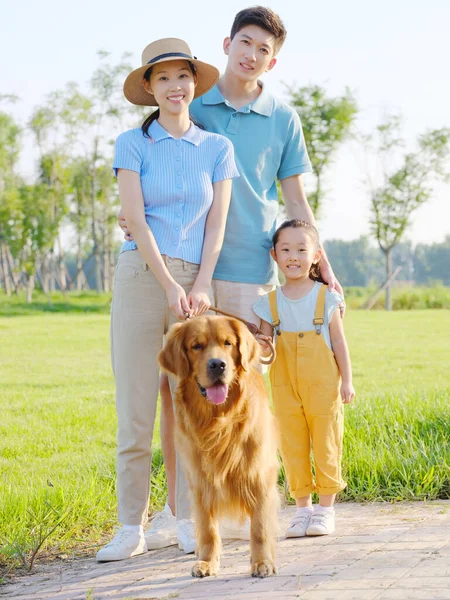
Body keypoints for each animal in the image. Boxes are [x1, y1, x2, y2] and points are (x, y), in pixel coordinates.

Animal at [157, 316, 278, 580]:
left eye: (228, 343)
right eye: (196, 346)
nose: (217, 365)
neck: (219, 421)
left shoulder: (258, 475)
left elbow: (260, 527)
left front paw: (262, 562)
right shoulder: (200, 481)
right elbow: (207, 530)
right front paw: (207, 562)